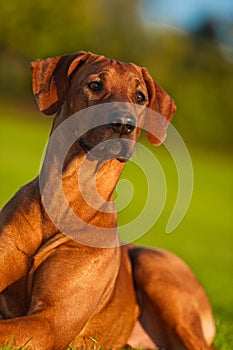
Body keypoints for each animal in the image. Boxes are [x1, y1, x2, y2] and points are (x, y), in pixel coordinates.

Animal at [0, 50, 216, 348]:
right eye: (95, 85)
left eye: (140, 96)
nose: (124, 125)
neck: (65, 197)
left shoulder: (49, 322)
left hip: (154, 265)